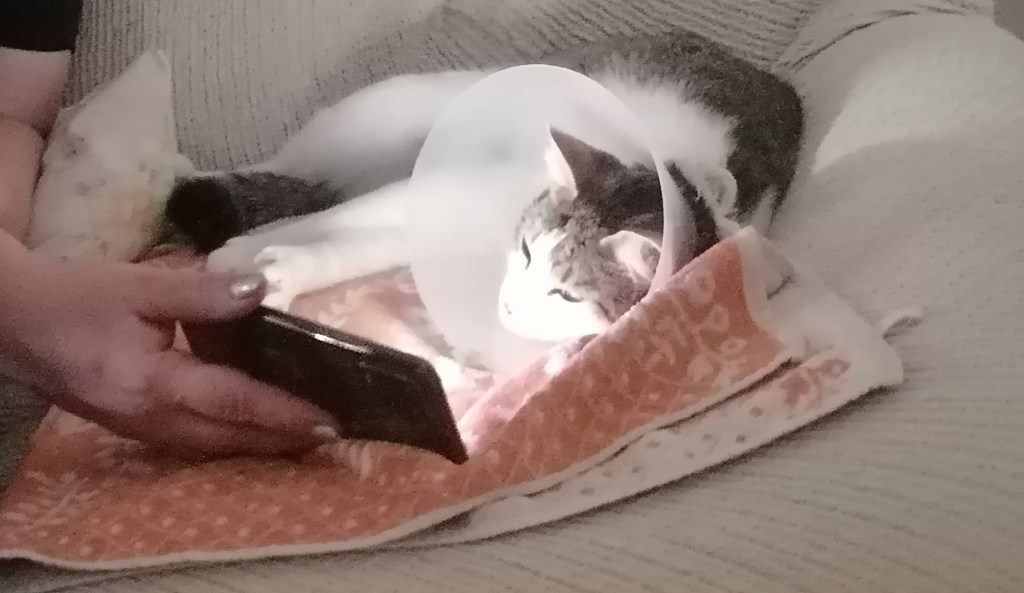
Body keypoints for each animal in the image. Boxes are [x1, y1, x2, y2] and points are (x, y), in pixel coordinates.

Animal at [166, 29, 804, 343]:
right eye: (527, 251)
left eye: (566, 295)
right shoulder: (438, 192)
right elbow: (325, 226)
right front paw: (243, 258)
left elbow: (347, 245)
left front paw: (280, 270)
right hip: (379, 116)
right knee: (294, 172)